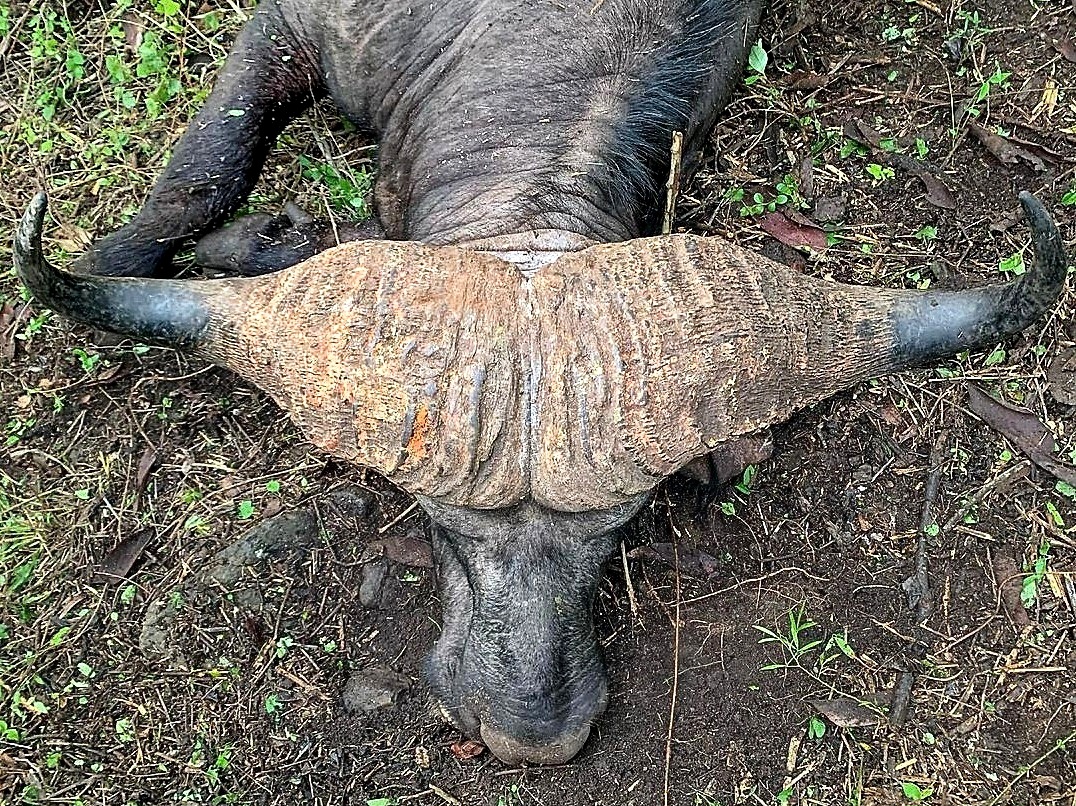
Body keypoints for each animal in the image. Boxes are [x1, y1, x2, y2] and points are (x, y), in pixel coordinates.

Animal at [10, 0, 1067, 766]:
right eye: (440, 527)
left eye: (621, 531)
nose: (534, 737)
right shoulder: (288, 29)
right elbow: (207, 171)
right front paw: (138, 252)